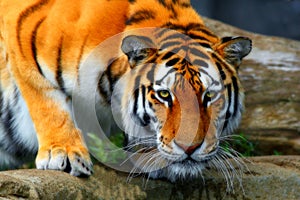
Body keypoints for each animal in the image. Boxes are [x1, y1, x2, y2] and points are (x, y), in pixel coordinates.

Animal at [0, 0, 252, 181]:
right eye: (164, 94)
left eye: (210, 95)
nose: (189, 147)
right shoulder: (24, 39)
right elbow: (48, 105)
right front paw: (63, 154)